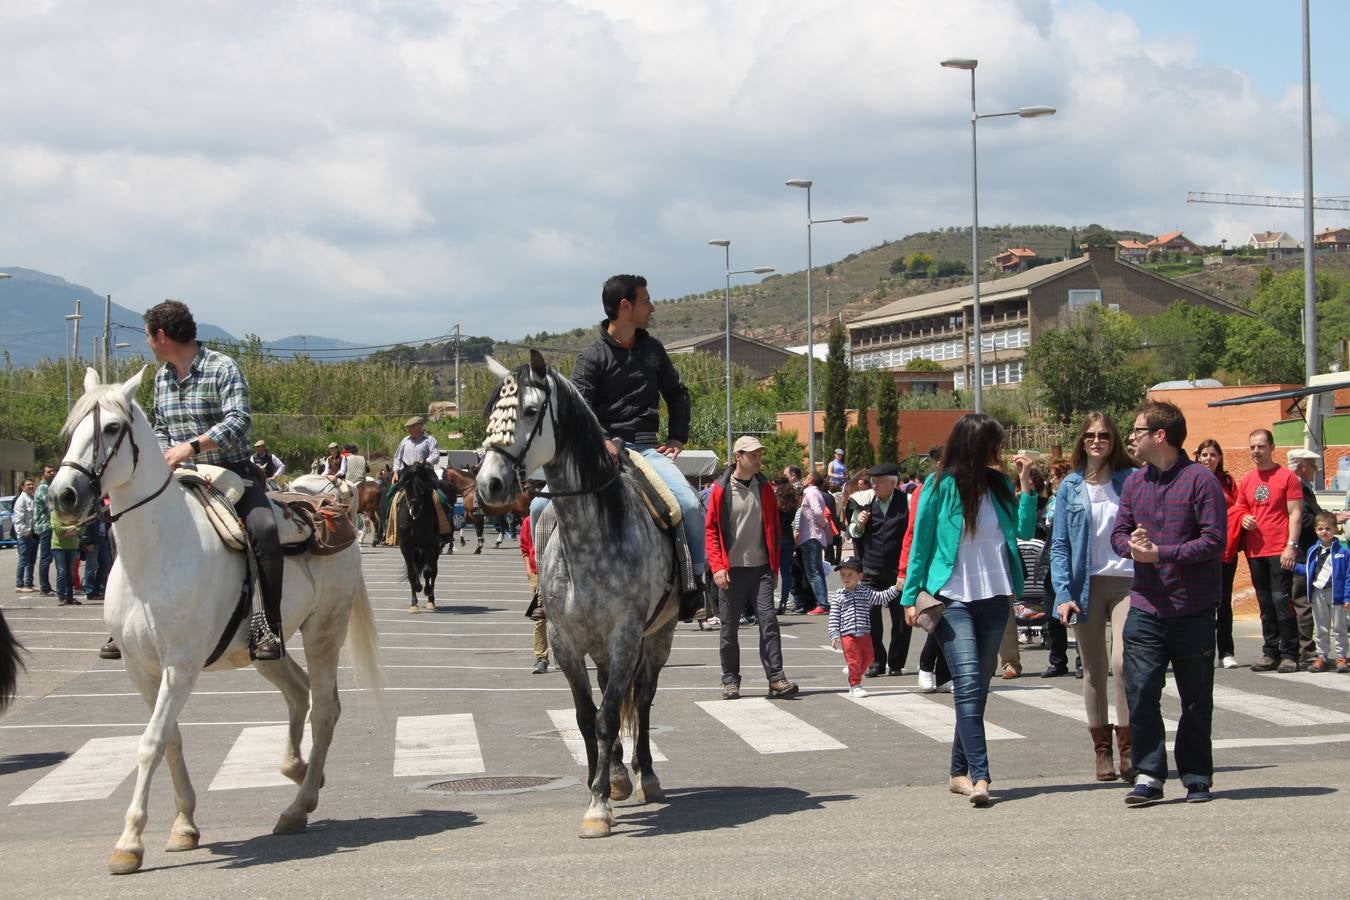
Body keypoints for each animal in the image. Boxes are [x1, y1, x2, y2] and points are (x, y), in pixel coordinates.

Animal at [49, 369, 383, 874]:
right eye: (70, 431)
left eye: (111, 428)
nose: (63, 495)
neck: (157, 553)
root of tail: (334, 510)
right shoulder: (140, 669)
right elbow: (169, 740)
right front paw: (184, 826)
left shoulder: (180, 667)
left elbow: (150, 743)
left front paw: (129, 842)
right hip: (266, 649)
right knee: (298, 692)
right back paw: (300, 771)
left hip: (324, 631)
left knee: (325, 708)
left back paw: (297, 806)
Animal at [480, 350, 680, 836]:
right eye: (492, 414)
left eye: (531, 411)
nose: (488, 484)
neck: (590, 537)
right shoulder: (565, 642)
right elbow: (586, 717)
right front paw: (599, 786)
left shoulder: (626, 636)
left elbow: (609, 717)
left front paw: (598, 804)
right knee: (613, 689)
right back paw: (620, 774)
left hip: (657, 637)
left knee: (642, 699)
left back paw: (646, 775)